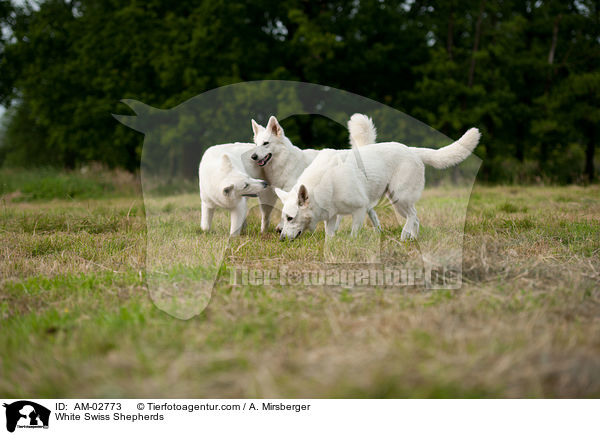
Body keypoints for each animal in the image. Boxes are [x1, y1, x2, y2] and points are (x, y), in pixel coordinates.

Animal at [274, 116, 480, 242]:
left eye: (290, 218)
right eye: (284, 218)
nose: (281, 238)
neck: (325, 182)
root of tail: (412, 150)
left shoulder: (359, 210)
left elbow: (354, 233)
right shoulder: (332, 216)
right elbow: (329, 235)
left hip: (399, 198)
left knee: (413, 216)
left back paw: (404, 236)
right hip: (397, 201)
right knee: (416, 219)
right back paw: (413, 239)